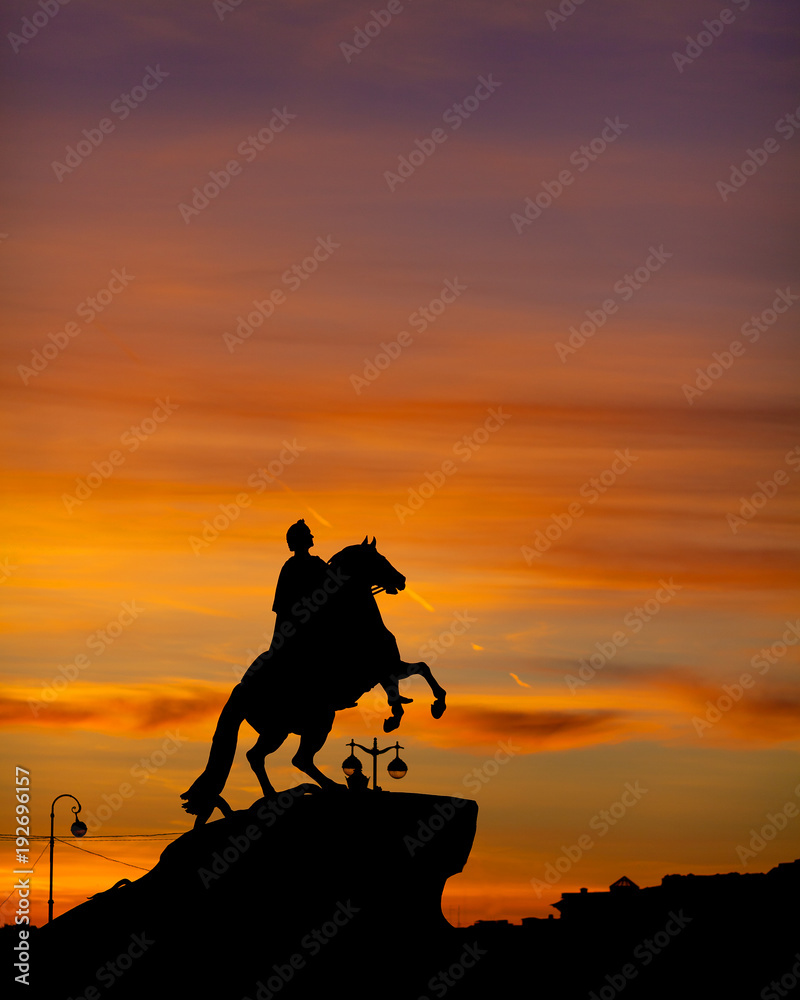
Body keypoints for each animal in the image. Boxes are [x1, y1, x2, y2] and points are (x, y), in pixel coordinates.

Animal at [178, 540, 446, 828]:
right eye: (379, 559)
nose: (402, 579)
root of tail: (240, 692)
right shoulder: (383, 667)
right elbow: (416, 673)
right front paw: (433, 706)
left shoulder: (388, 668)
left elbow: (415, 674)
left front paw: (402, 714)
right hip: (305, 724)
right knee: (287, 757)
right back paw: (311, 790)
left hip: (284, 729)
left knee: (264, 756)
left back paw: (284, 794)